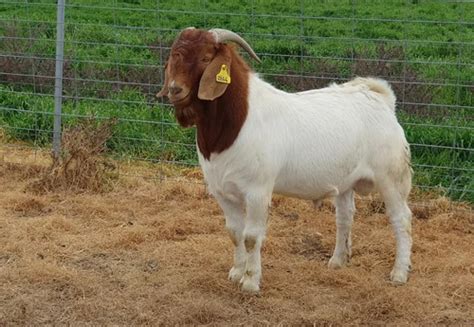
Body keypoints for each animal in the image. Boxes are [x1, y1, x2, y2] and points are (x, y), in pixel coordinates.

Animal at [157, 28, 412, 294]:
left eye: (206, 58)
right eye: (173, 55)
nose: (175, 89)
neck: (238, 121)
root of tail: (381, 99)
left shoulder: (257, 191)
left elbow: (251, 237)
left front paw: (250, 282)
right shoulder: (222, 191)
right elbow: (234, 233)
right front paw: (236, 272)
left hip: (391, 177)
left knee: (401, 218)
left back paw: (399, 272)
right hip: (346, 181)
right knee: (345, 216)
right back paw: (338, 260)